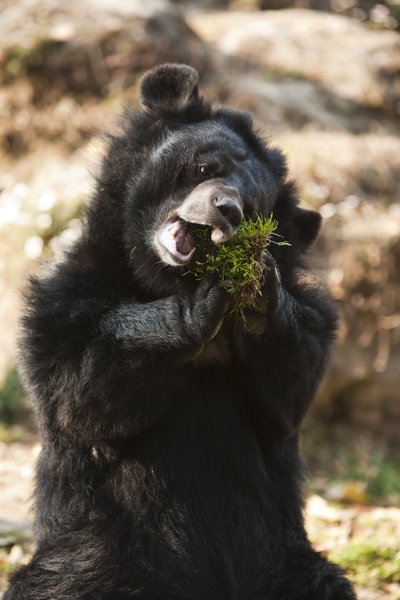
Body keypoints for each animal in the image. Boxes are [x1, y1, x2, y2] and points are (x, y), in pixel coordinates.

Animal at [6, 65, 356, 600]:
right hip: (102, 549)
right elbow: (79, 390)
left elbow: (289, 391)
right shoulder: (62, 298)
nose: (226, 209)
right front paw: (203, 304)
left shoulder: (313, 318)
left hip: (284, 555)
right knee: (61, 583)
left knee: (322, 582)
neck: (161, 278)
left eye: (253, 206)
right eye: (203, 167)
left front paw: (257, 290)